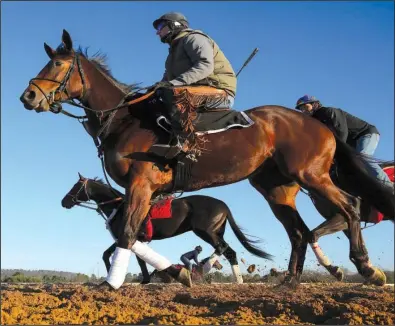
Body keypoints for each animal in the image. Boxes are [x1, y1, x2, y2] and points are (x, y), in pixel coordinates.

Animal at [19, 29, 395, 288]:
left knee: (348, 207)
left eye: (57, 64)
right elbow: (136, 237)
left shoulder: (141, 183)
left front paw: (113, 283)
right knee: (299, 233)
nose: (28, 96)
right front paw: (175, 273)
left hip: (311, 175)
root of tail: (317, 122)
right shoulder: (141, 191)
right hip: (277, 189)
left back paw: (366, 268)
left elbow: (127, 234)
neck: (124, 120)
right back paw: (291, 280)